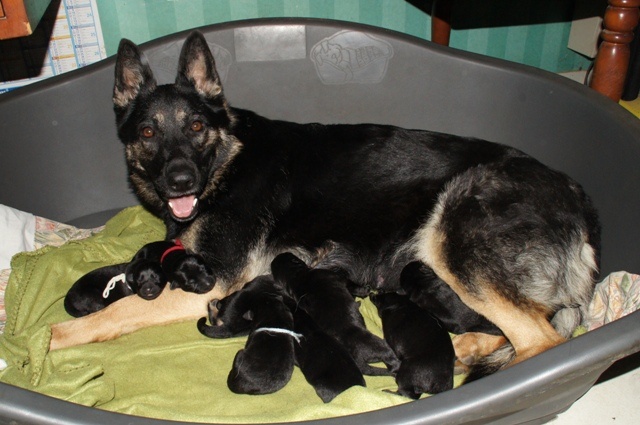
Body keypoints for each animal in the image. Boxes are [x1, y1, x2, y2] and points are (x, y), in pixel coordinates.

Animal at [270, 252, 400, 374]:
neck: (296, 277)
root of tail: (359, 361)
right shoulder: (338, 278)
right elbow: (354, 287)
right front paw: (365, 290)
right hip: (380, 346)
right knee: (391, 360)